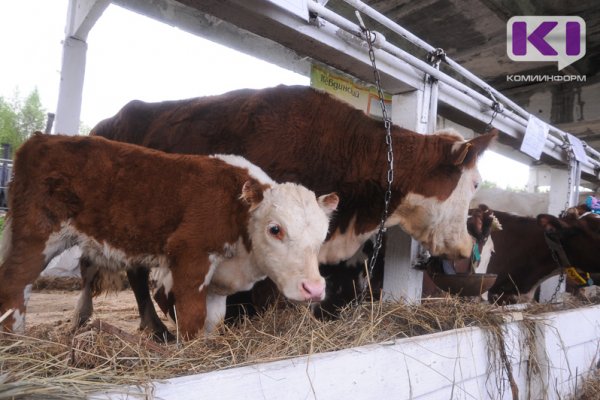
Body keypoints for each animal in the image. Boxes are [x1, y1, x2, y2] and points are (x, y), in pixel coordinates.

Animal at [0, 134, 338, 338]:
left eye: (322, 236)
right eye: (275, 228)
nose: (314, 289)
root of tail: (40, 139)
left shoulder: (217, 282)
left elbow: (212, 320)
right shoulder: (189, 255)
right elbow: (191, 316)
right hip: (37, 233)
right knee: (16, 282)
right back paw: (16, 338)